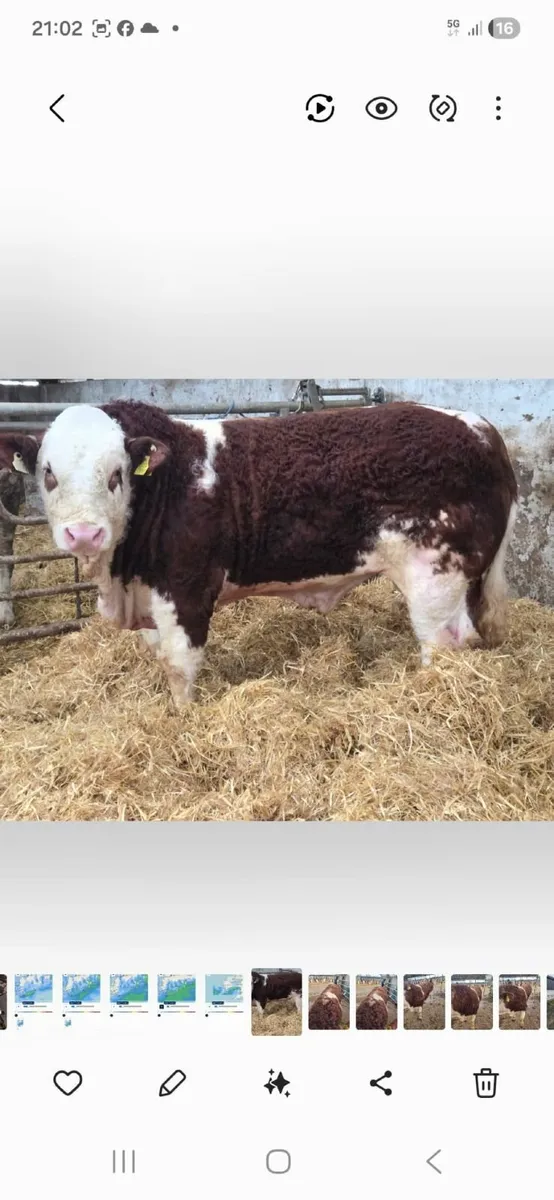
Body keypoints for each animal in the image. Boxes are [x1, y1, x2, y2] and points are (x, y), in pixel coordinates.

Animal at [0, 398, 518, 707]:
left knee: (446, 644)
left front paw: (181, 720)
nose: (84, 534)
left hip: (437, 577)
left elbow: (178, 667)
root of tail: (481, 428)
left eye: (116, 474)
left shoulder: (185, 591)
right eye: (49, 474)